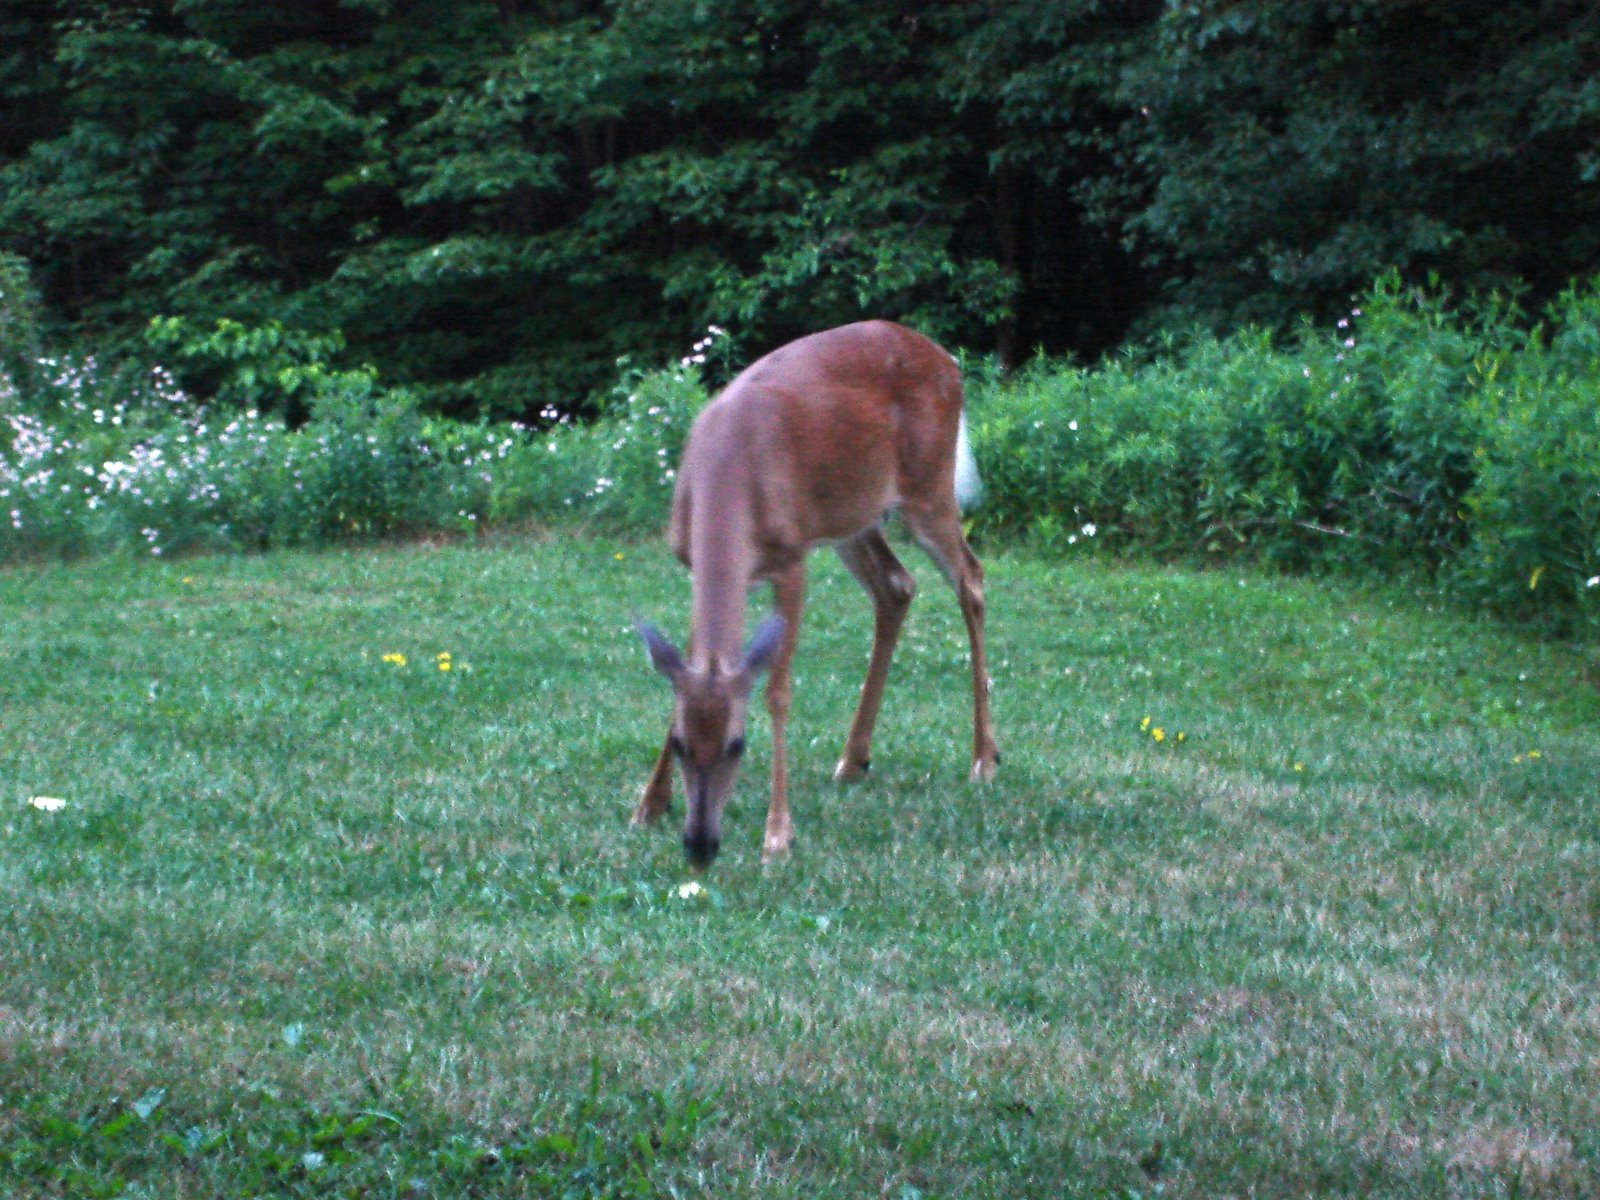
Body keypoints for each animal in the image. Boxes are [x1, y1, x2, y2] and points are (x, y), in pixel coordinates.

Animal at [632, 320, 999, 867]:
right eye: (679, 744)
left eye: (738, 745)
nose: (701, 846)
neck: (727, 482)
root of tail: (947, 360)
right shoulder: (695, 564)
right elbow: (684, 673)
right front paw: (650, 805)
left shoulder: (792, 559)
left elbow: (778, 691)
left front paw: (778, 834)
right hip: (853, 515)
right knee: (897, 586)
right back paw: (853, 758)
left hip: (928, 488)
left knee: (970, 578)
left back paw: (984, 758)